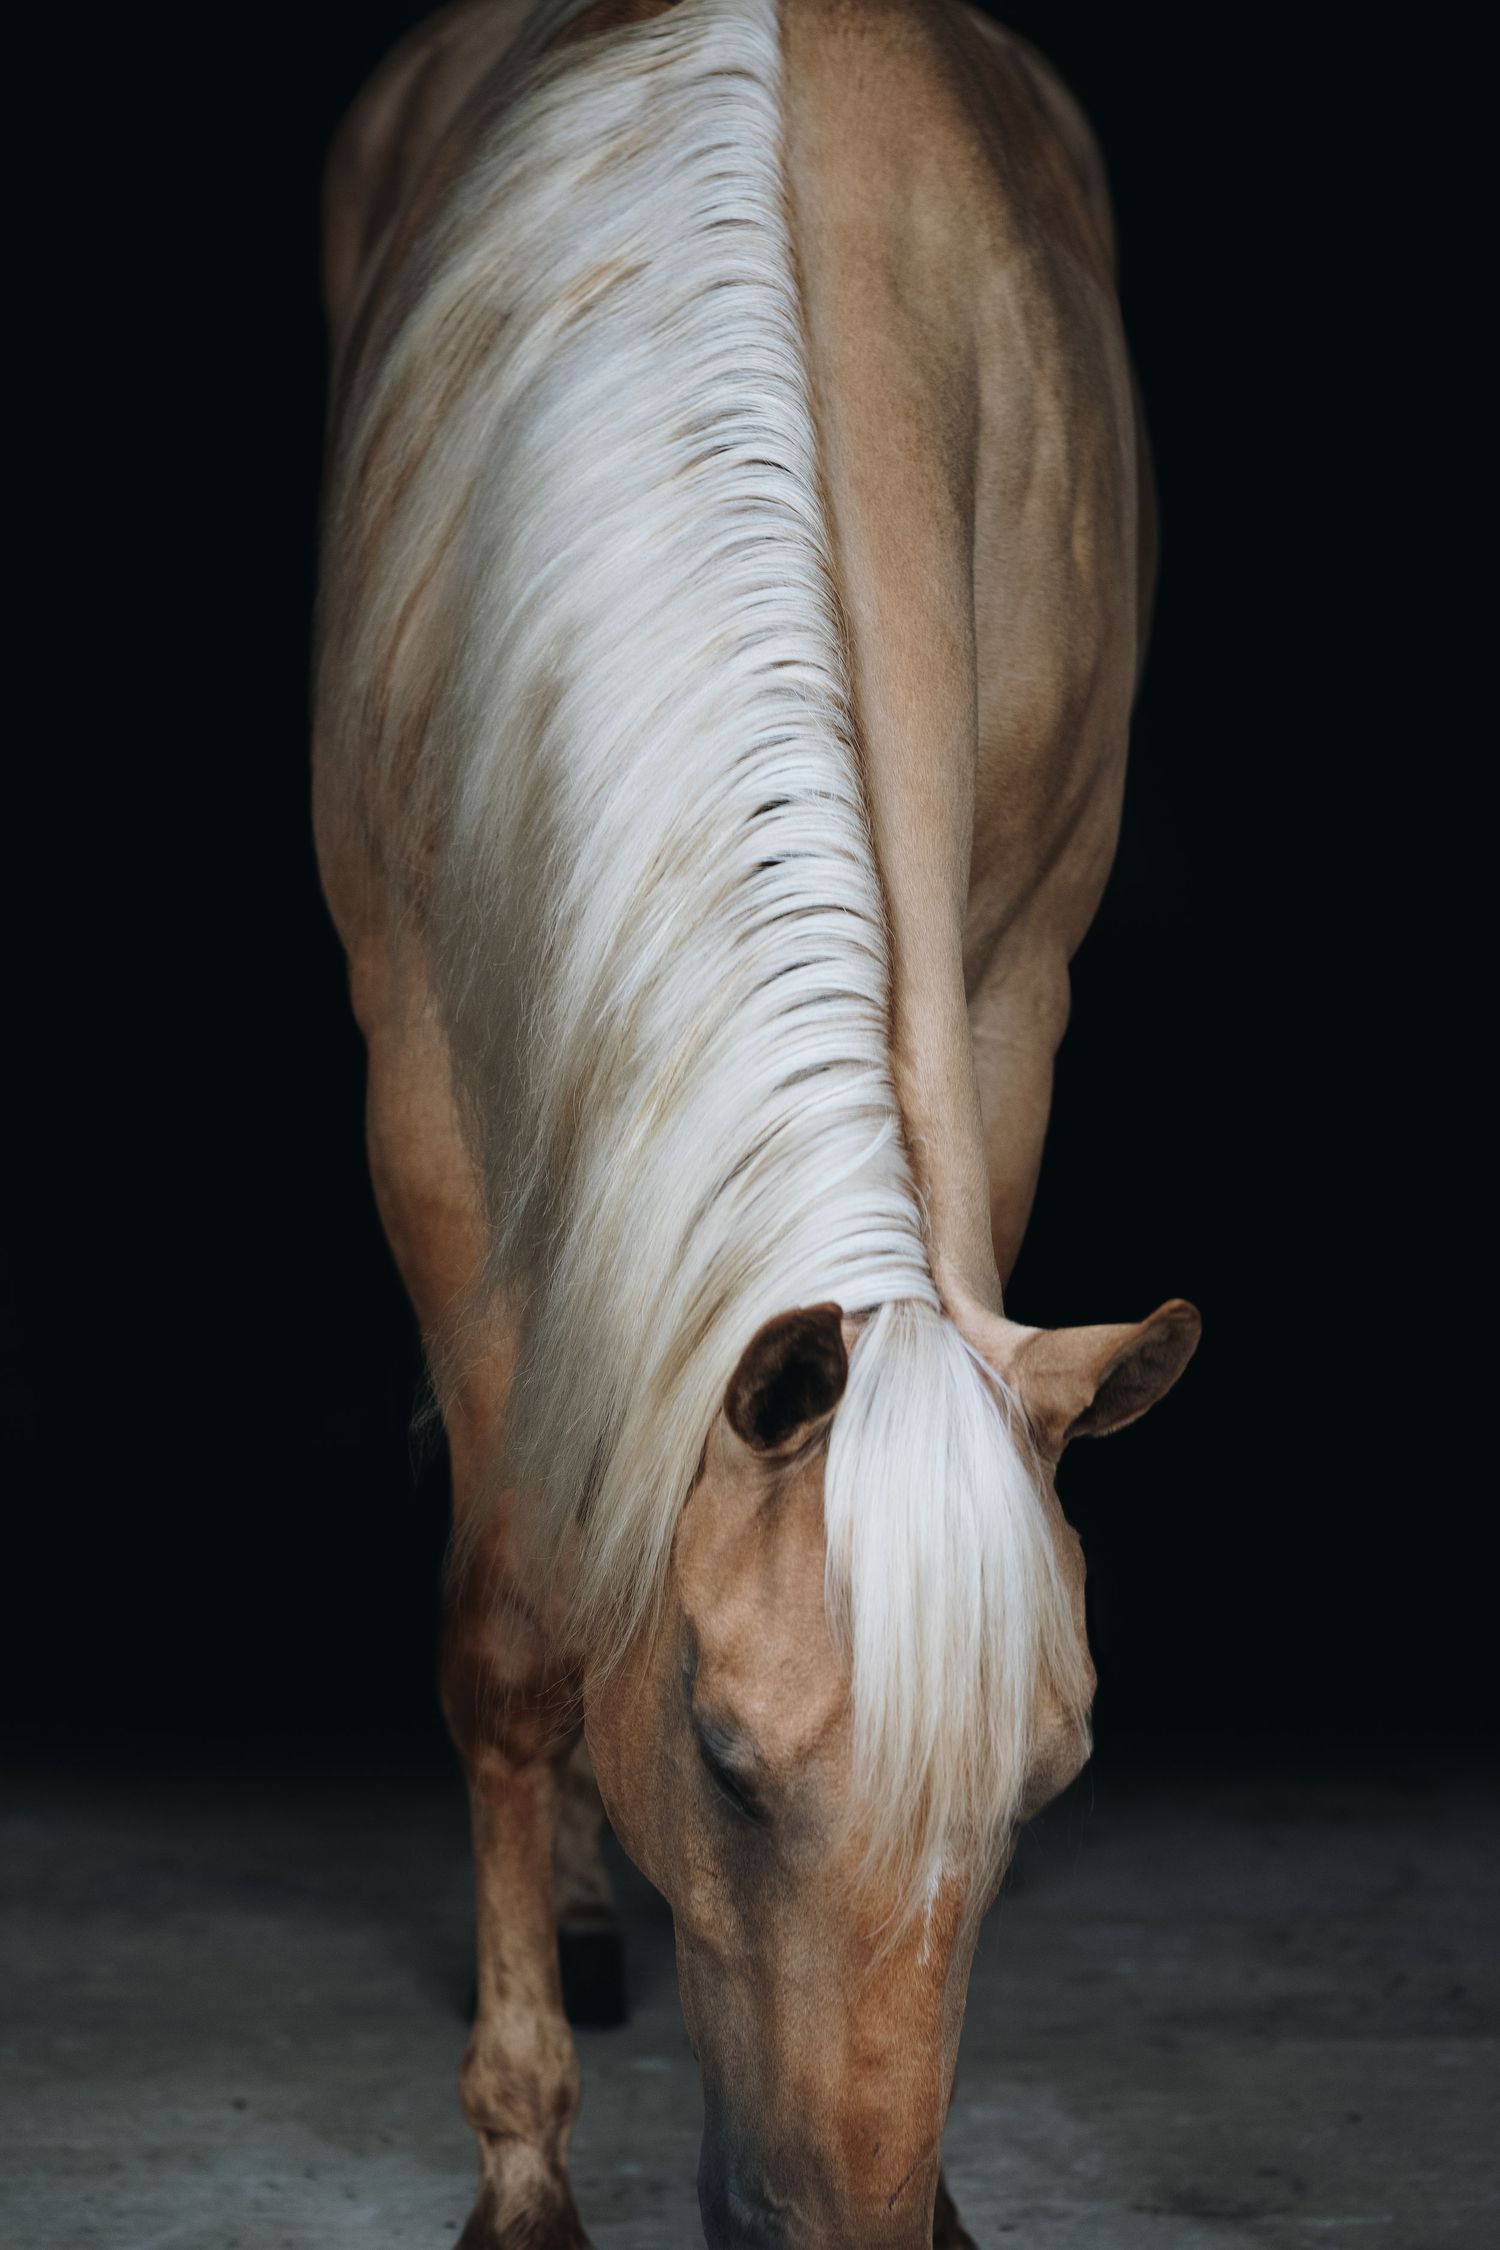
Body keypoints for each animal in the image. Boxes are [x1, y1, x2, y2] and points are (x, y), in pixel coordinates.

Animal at [313, 2, 1200, 2243]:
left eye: (1043, 1782)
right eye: (721, 1756)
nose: (863, 2230)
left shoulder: (1007, 1005)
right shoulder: (428, 1086)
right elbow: (520, 1635)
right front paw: (522, 2167)